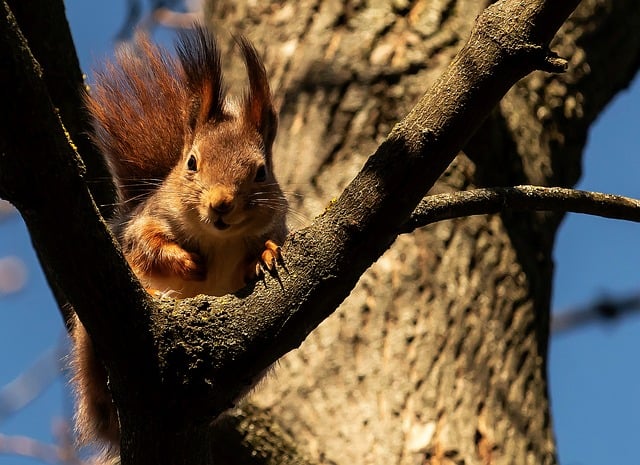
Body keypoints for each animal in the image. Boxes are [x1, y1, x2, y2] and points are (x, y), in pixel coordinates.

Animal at [70, 26, 288, 454]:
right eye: (191, 162)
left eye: (261, 172)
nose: (221, 204)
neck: (217, 239)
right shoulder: (145, 223)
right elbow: (147, 246)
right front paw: (188, 264)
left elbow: (263, 249)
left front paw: (266, 257)